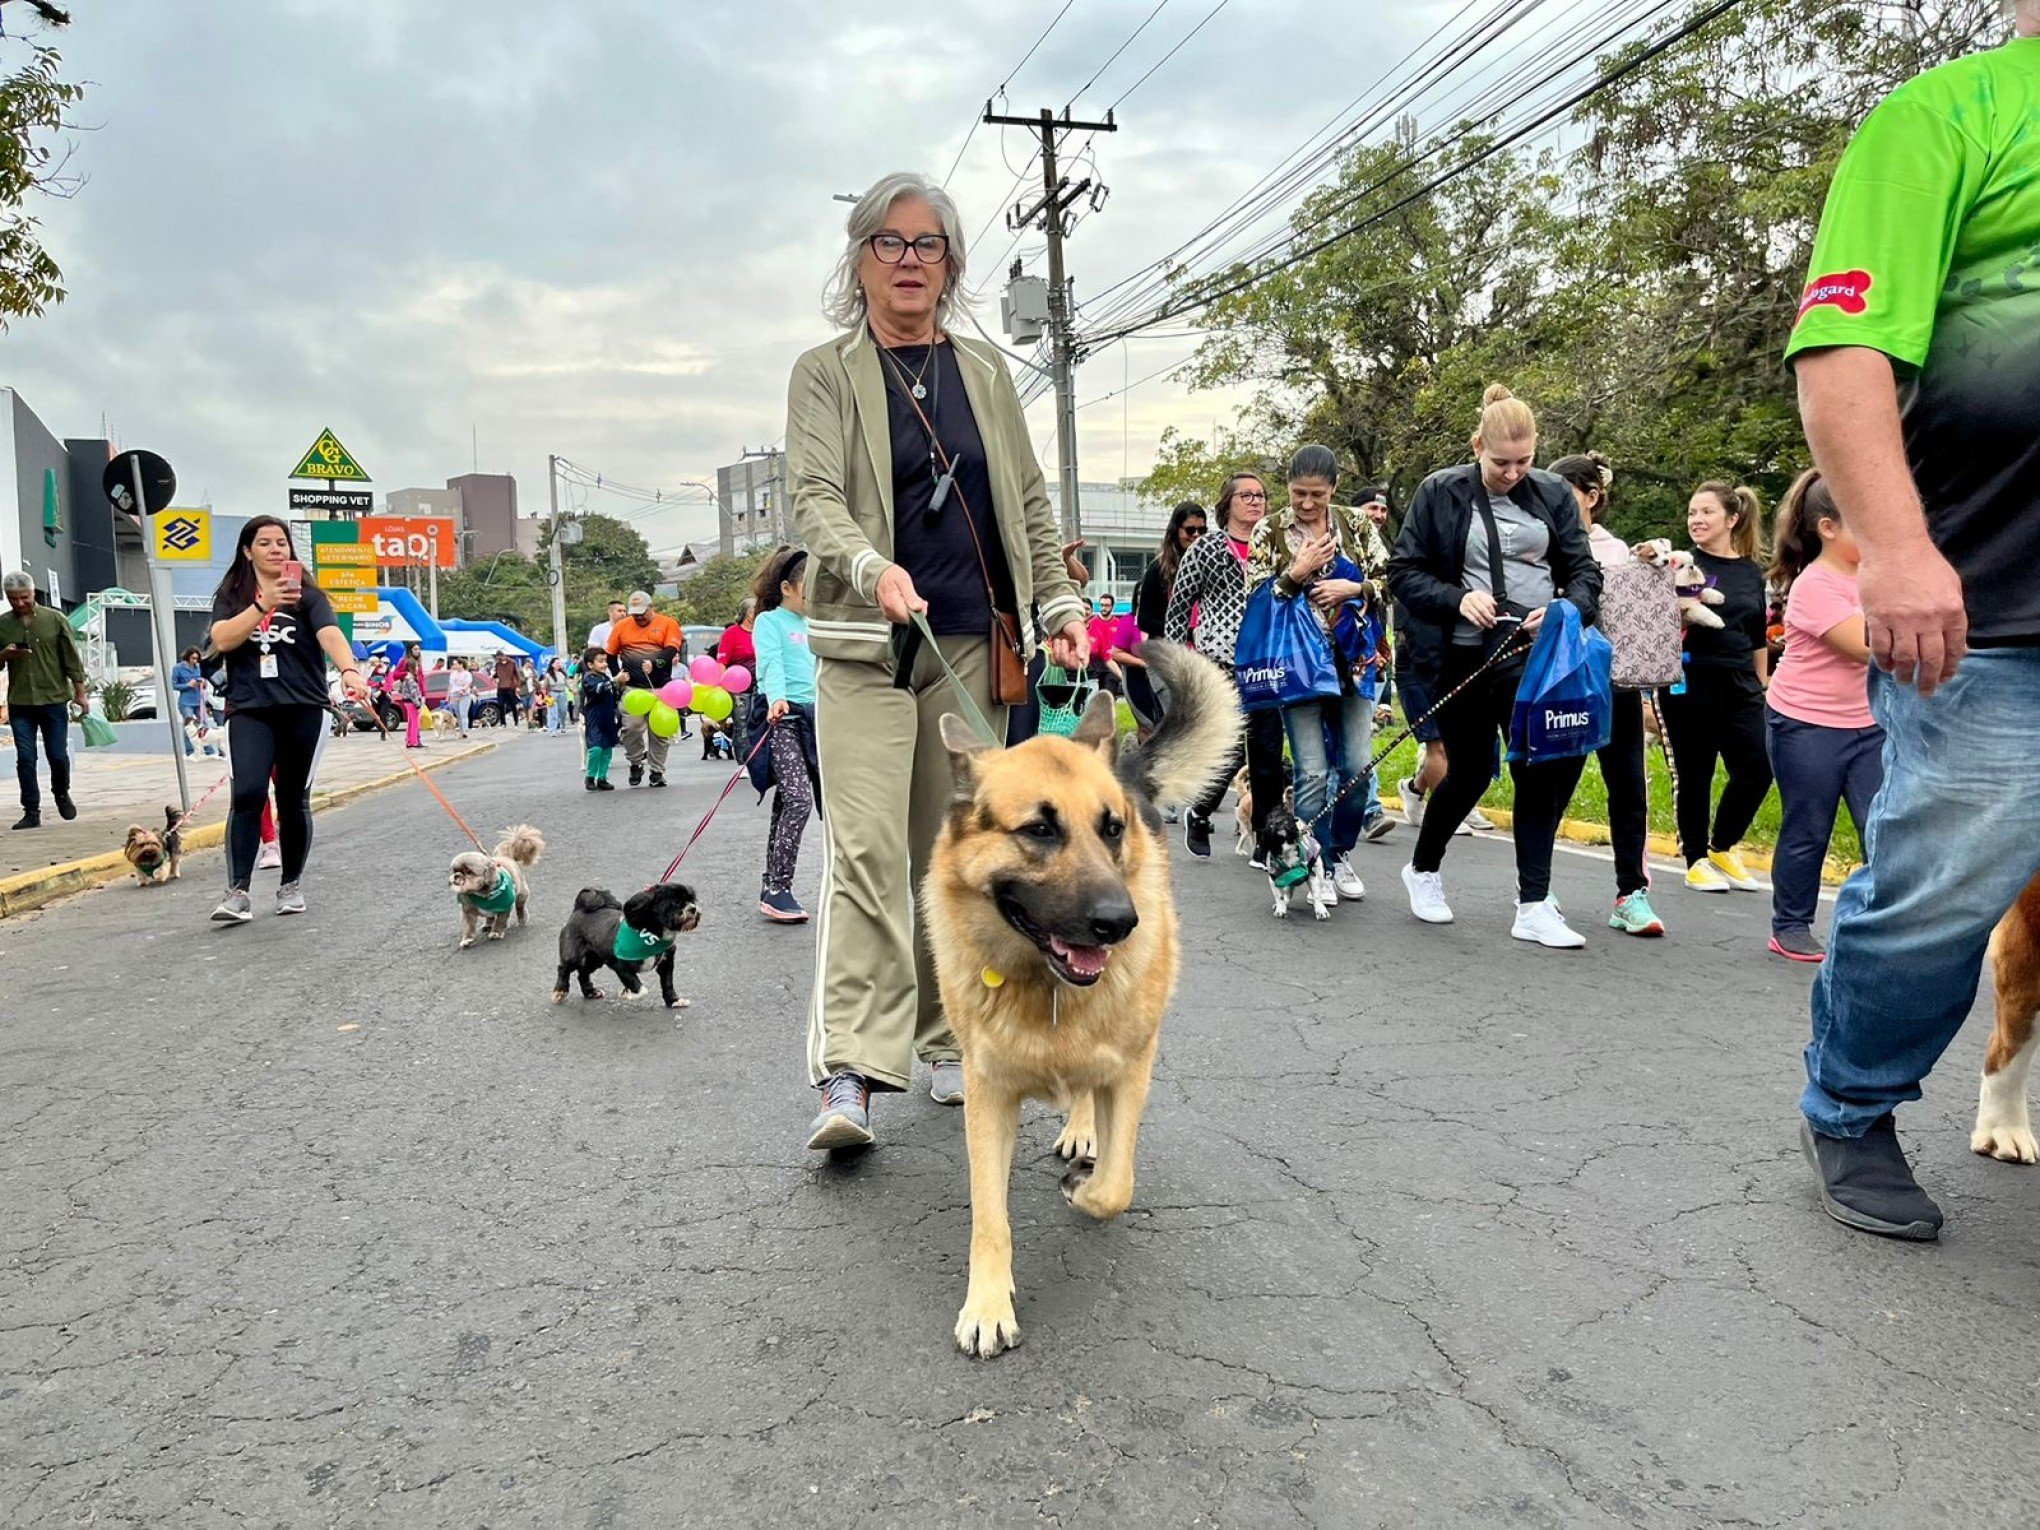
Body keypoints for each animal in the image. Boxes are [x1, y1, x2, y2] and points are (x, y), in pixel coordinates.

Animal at [554, 881, 705, 1011]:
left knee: (583, 973)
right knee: (563, 968)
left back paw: (590, 992)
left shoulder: (666, 962)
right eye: (676, 902)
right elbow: (639, 987)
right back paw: (560, 991)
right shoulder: (620, 964)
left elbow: (667, 983)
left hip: (594, 959)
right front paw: (628, 994)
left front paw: (674, 1001)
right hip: (574, 955)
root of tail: (578, 909)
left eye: (692, 900)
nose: (693, 908)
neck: (652, 932)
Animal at [930, 640, 1240, 1362]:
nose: (1120, 923)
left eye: (1112, 829)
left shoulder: (1131, 1070)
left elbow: (1117, 1187)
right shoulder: (988, 1097)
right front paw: (987, 1304)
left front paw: (1084, 1187)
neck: (1045, 987)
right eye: (1039, 831)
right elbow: (990, 1216)